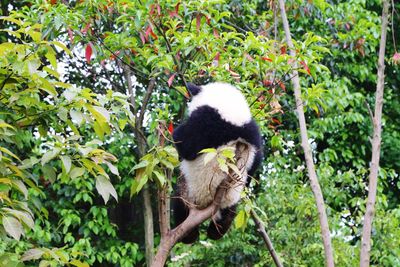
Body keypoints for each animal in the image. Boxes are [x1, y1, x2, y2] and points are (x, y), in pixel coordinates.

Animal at [173, 82, 262, 244]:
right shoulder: (252, 131)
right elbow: (256, 162)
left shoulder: (206, 122)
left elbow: (184, 144)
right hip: (231, 198)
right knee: (230, 212)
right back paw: (217, 231)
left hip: (192, 190)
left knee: (179, 203)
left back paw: (189, 236)